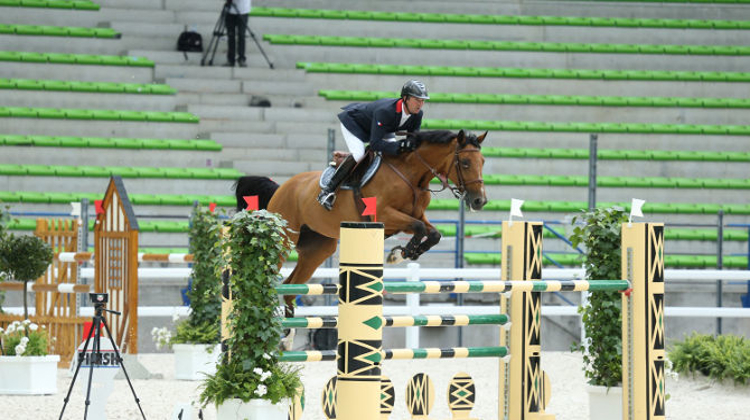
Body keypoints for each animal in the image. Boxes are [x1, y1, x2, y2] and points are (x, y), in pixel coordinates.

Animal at [236, 130, 494, 316]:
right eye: (466, 162)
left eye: (482, 161)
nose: (480, 201)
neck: (412, 174)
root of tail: (283, 187)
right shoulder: (385, 214)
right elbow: (420, 229)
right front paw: (400, 254)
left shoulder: (415, 215)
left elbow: (433, 234)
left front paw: (404, 253)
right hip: (283, 239)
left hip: (318, 248)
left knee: (291, 288)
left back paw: (286, 340)